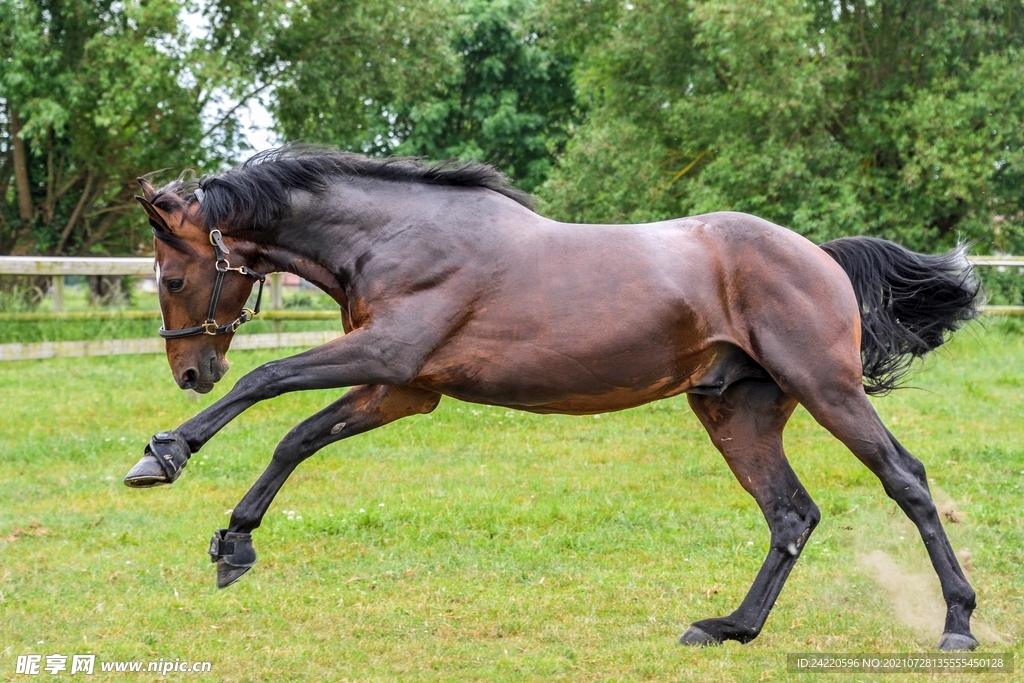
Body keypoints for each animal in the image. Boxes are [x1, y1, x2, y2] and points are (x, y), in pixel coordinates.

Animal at [125, 146, 981, 651]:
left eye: (174, 276)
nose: (190, 371)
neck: (393, 237)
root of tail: (820, 257)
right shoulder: (403, 388)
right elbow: (297, 436)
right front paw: (234, 542)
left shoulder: (388, 355)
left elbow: (265, 380)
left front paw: (164, 454)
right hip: (736, 411)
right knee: (791, 514)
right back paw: (731, 627)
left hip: (827, 387)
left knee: (905, 479)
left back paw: (958, 623)